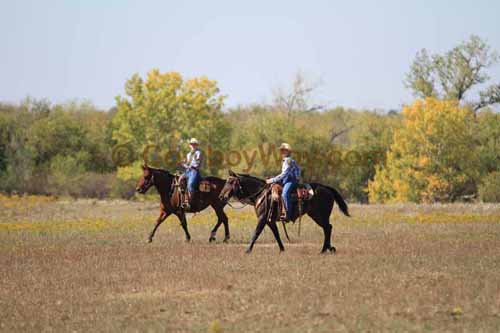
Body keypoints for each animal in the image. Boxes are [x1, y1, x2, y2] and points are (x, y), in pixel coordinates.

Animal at [221, 170, 350, 253]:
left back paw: (324, 249)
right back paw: (327, 248)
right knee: (328, 228)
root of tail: (327, 188)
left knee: (327, 228)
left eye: (230, 182)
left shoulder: (262, 218)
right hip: (317, 216)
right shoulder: (270, 221)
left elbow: (256, 233)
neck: (261, 193)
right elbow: (277, 234)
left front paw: (247, 250)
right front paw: (282, 249)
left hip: (319, 216)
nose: (221, 196)